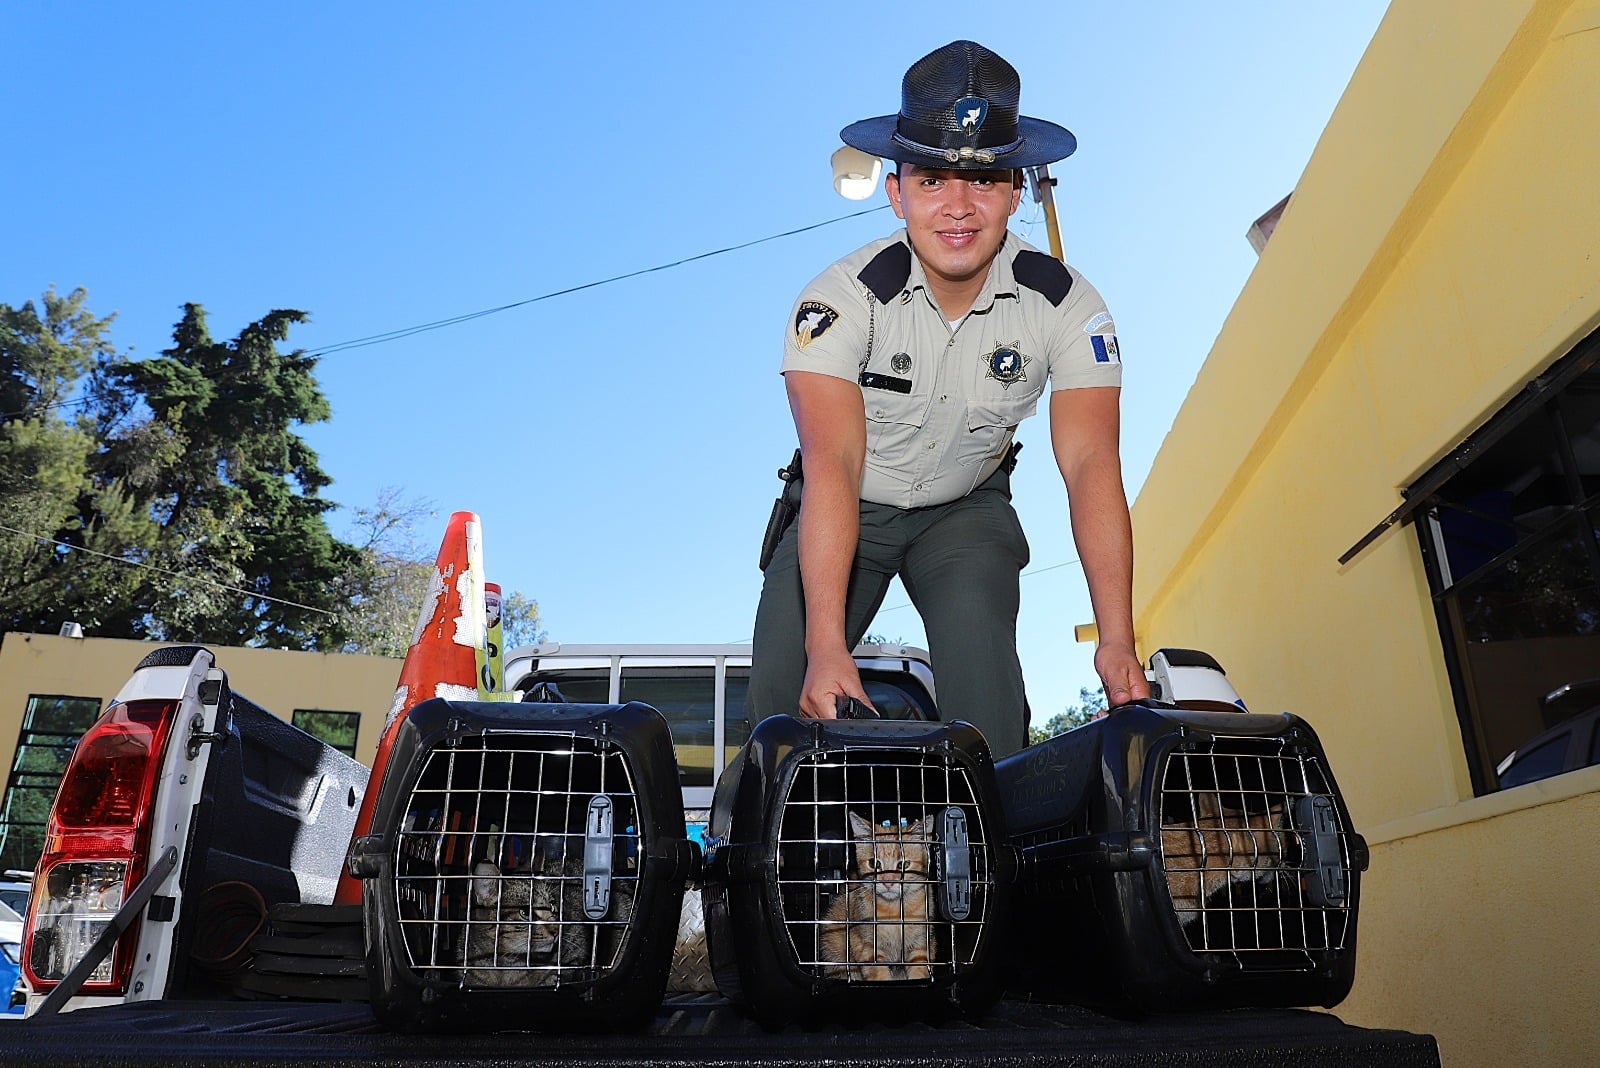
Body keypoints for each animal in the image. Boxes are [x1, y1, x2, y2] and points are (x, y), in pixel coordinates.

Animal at [818, 811, 935, 981]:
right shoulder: (867, 948)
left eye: (903, 864)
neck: (893, 912)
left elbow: (919, 972)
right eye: (874, 864)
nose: (888, 883)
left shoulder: (921, 947)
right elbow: (879, 975)